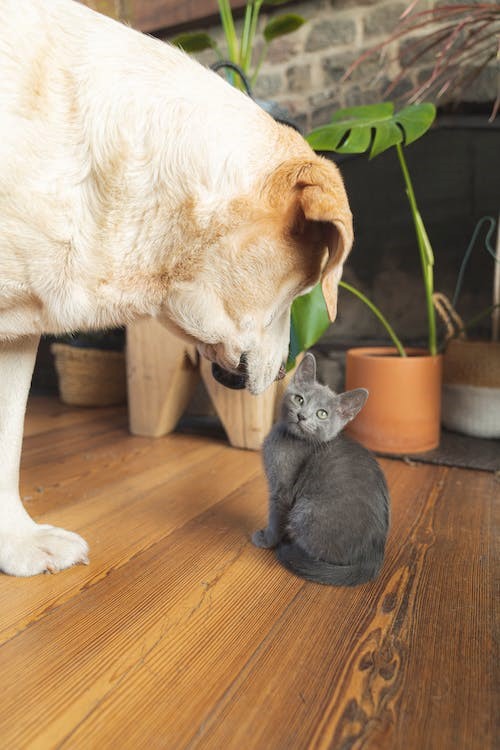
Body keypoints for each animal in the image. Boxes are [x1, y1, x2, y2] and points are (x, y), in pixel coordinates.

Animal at [252, 352, 388, 588]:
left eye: (322, 414)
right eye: (299, 399)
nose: (302, 416)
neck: (288, 438)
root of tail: (373, 558)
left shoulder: (282, 491)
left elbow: (275, 518)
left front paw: (266, 539)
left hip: (304, 510)